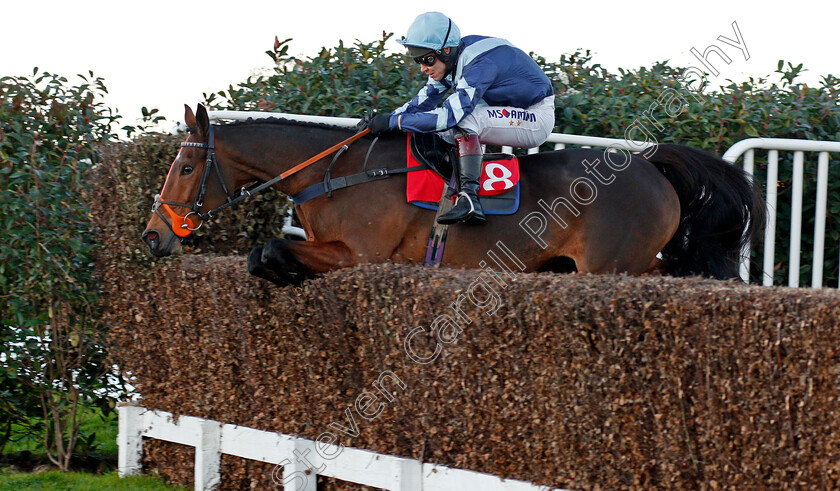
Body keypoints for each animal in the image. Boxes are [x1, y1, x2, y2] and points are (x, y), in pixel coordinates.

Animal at [141, 105, 764, 286]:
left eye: (187, 166)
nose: (152, 237)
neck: (338, 173)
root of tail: (649, 162)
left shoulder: (363, 255)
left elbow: (267, 248)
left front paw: (282, 269)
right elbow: (260, 252)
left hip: (611, 263)